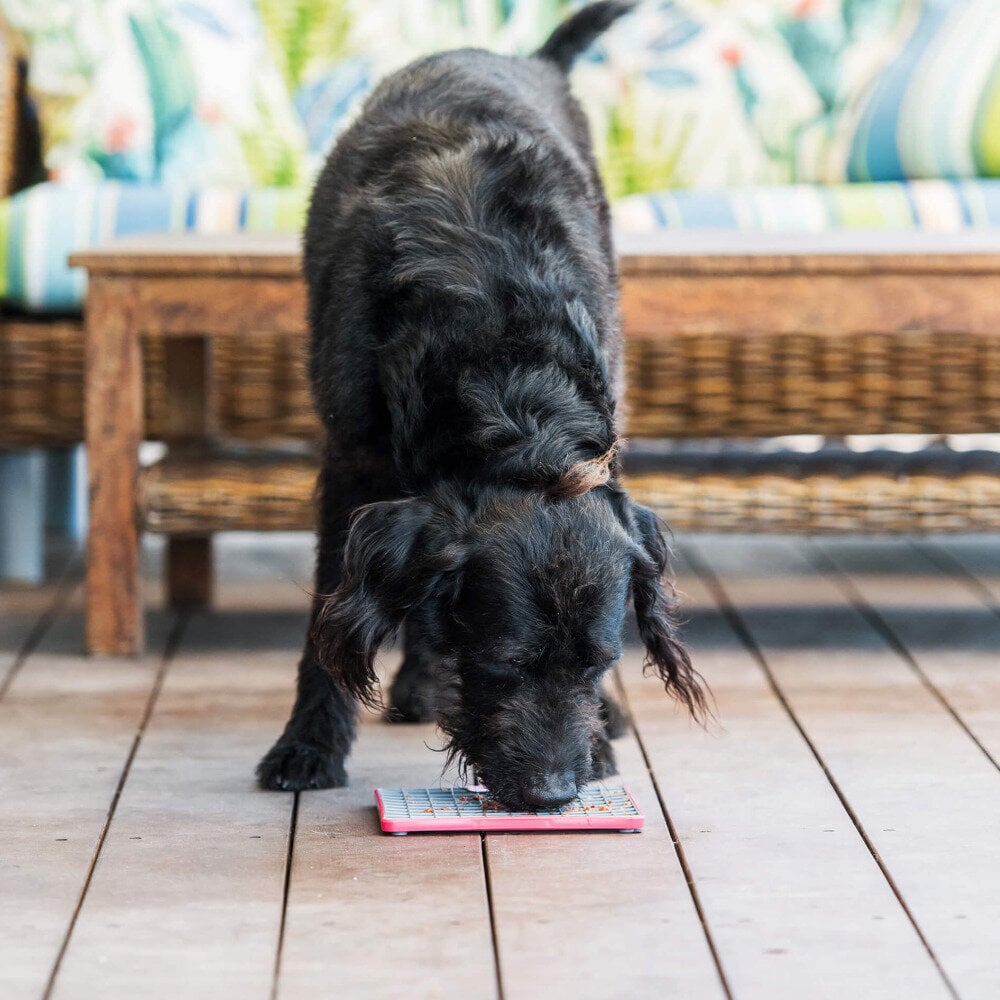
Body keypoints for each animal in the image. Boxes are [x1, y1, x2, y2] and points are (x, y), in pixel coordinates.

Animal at [262, 0, 708, 808]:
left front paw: (602, 732)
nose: (554, 792)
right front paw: (308, 744)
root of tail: (525, 58)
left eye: (598, 662)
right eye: (505, 664)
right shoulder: (351, 467)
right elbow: (331, 615)